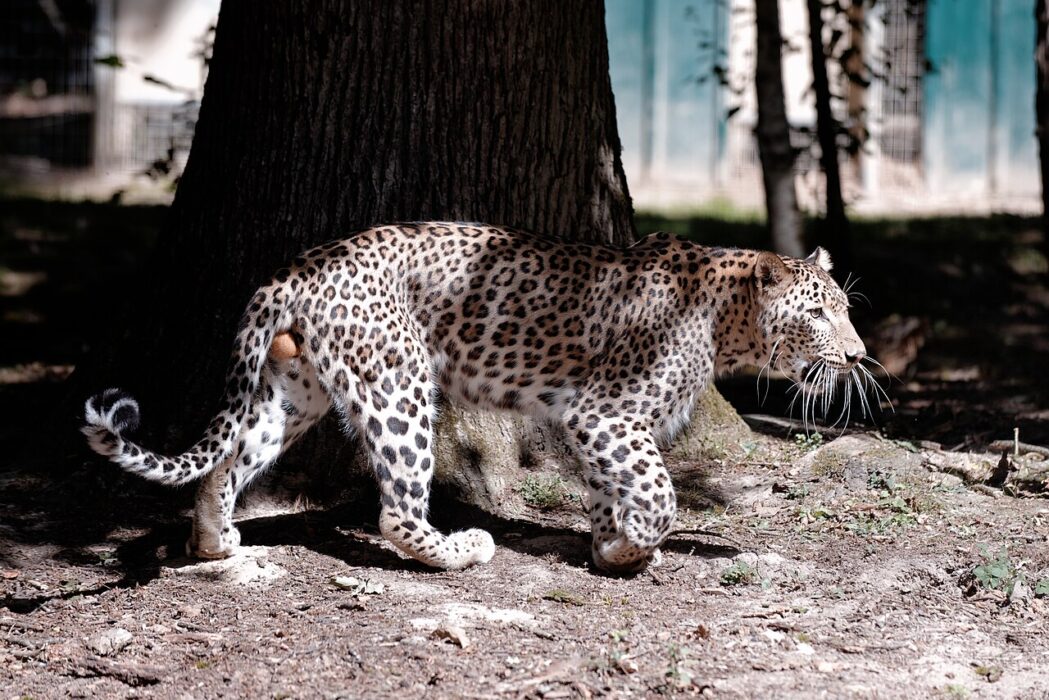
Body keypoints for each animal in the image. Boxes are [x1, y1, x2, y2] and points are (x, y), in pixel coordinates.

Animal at [83, 222, 867, 573]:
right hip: (399, 384)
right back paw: (459, 549)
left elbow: (609, 490)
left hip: (294, 389)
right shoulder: (605, 412)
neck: (727, 319)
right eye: (818, 314)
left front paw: (605, 542)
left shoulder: (585, 423)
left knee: (224, 462)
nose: (860, 355)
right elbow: (659, 493)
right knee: (397, 511)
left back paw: (216, 543)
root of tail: (298, 267)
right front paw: (627, 550)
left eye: (844, 310)